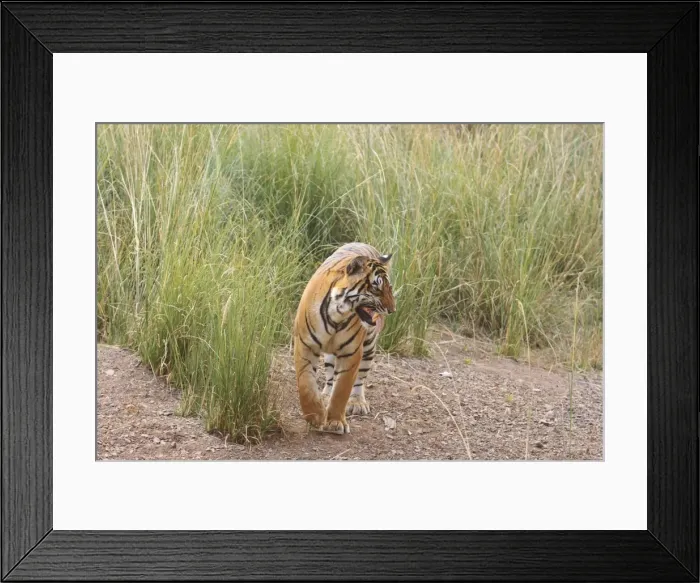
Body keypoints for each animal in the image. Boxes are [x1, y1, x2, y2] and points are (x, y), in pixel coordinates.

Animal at [292, 242, 396, 434]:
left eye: (389, 288)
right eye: (376, 287)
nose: (392, 310)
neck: (337, 314)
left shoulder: (351, 352)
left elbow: (342, 390)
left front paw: (335, 422)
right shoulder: (304, 344)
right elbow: (306, 385)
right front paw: (315, 416)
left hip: (368, 346)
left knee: (360, 379)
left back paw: (357, 402)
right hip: (329, 355)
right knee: (330, 377)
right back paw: (325, 396)